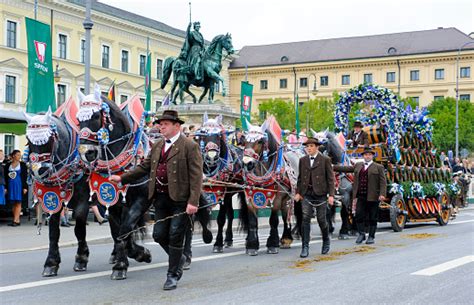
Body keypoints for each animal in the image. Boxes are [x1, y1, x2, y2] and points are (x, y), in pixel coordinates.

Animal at [78, 86, 151, 280]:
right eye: (78, 119)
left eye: (96, 115)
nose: (86, 153)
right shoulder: (112, 203)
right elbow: (118, 233)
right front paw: (125, 261)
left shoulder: (141, 201)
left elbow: (124, 230)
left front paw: (135, 256)